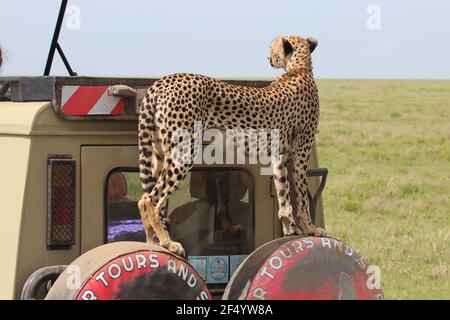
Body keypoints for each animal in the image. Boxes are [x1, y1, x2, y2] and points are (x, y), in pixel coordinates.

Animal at [137, 35, 326, 255]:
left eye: (272, 49)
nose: (268, 58)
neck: (299, 68)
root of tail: (162, 82)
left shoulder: (280, 155)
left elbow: (283, 195)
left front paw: (289, 231)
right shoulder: (301, 153)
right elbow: (302, 197)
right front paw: (310, 229)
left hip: (159, 153)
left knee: (145, 197)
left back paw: (150, 242)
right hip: (184, 151)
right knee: (152, 199)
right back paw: (167, 242)